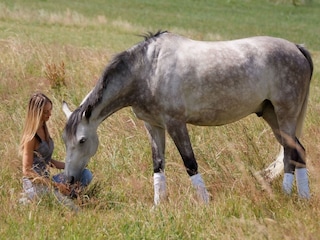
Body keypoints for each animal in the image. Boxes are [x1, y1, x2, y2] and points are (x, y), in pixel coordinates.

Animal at [62, 31, 312, 204]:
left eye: (82, 140)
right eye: (65, 141)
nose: (70, 179)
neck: (148, 70)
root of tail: (297, 48)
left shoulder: (175, 124)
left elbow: (190, 163)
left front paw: (205, 203)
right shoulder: (153, 125)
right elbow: (158, 165)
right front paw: (158, 206)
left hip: (285, 113)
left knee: (292, 152)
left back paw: (288, 195)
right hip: (270, 114)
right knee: (296, 151)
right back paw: (301, 197)